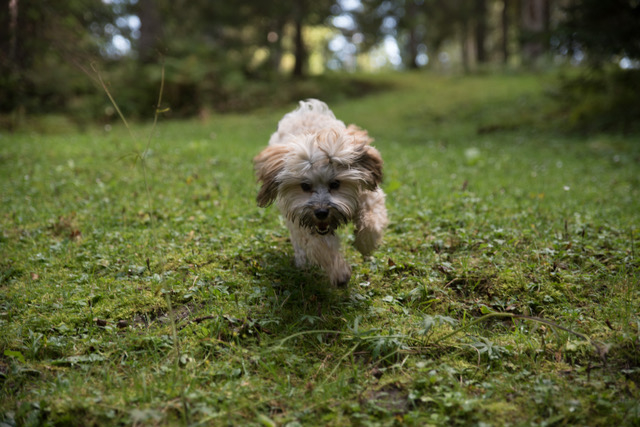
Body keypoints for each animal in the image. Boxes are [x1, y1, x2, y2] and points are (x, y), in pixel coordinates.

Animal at [254, 99, 384, 288]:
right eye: (305, 186)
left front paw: (365, 244)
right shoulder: (300, 218)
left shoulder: (368, 194)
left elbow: (371, 220)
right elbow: (319, 246)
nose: (321, 212)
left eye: (335, 184)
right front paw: (339, 272)